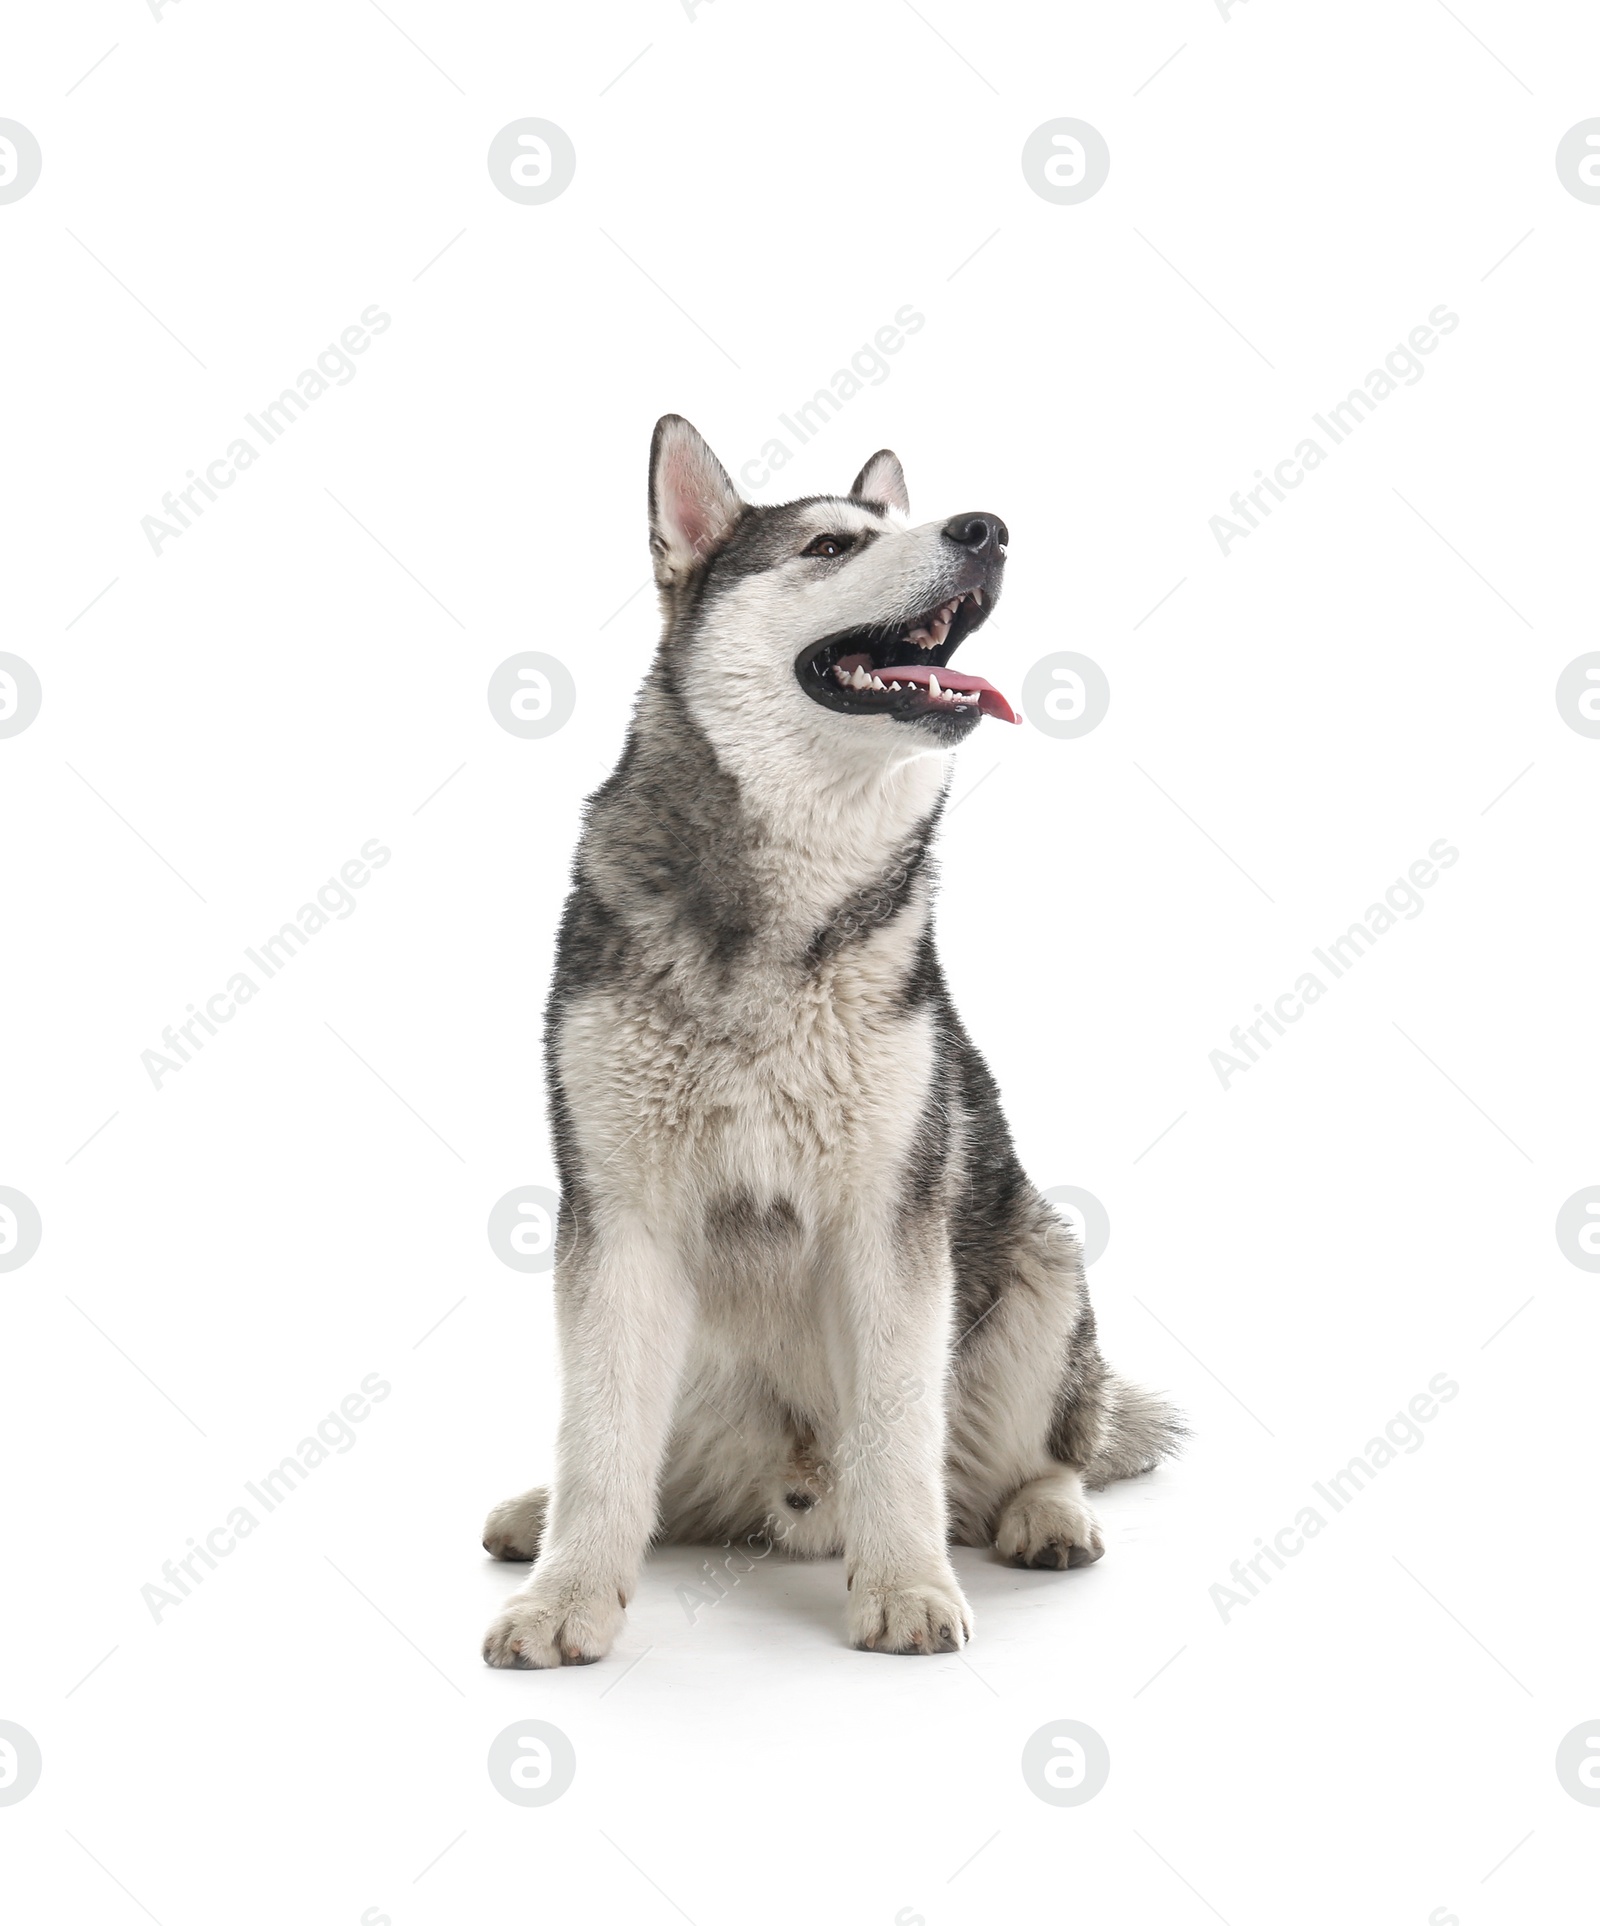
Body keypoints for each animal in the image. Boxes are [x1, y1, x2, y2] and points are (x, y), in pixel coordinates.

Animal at [481, 414, 1186, 1664]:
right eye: (828, 545)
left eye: (901, 522)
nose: (986, 527)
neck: (781, 908)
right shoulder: (616, 1220)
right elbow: (600, 1441)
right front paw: (569, 1597)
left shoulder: (888, 1224)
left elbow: (898, 1431)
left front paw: (904, 1584)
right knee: (659, 1480)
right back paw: (545, 1514)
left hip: (1041, 1266)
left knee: (1047, 1451)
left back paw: (1044, 1516)